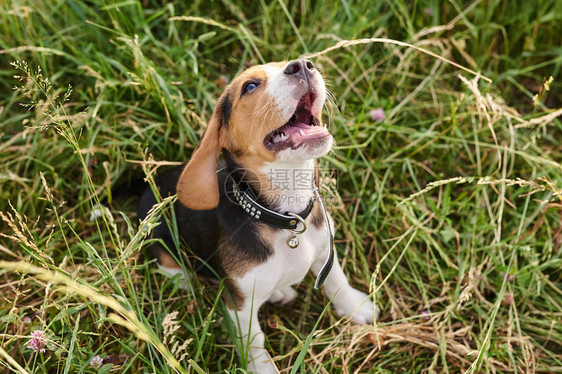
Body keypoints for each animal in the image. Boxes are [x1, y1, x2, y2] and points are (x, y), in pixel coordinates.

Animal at [138, 60, 378, 372]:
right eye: (250, 86)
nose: (302, 65)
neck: (287, 218)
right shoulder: (240, 307)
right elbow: (255, 341)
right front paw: (262, 367)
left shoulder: (326, 248)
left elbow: (337, 280)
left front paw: (355, 307)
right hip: (162, 243)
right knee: (169, 264)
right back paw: (185, 281)